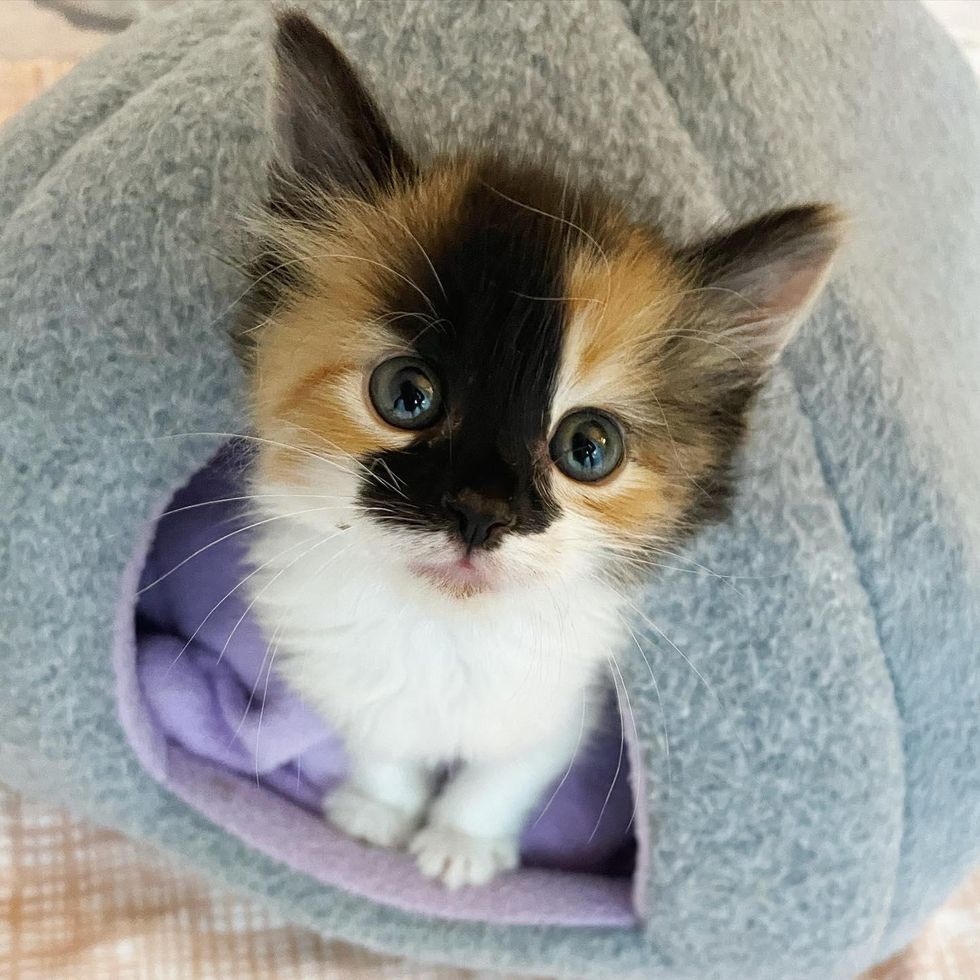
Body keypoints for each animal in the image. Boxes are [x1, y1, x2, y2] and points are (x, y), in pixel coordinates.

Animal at [237, 11, 844, 892]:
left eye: (589, 448)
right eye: (406, 395)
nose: (480, 513)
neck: (447, 628)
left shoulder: (568, 697)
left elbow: (509, 767)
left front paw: (459, 846)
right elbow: (382, 736)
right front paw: (378, 812)